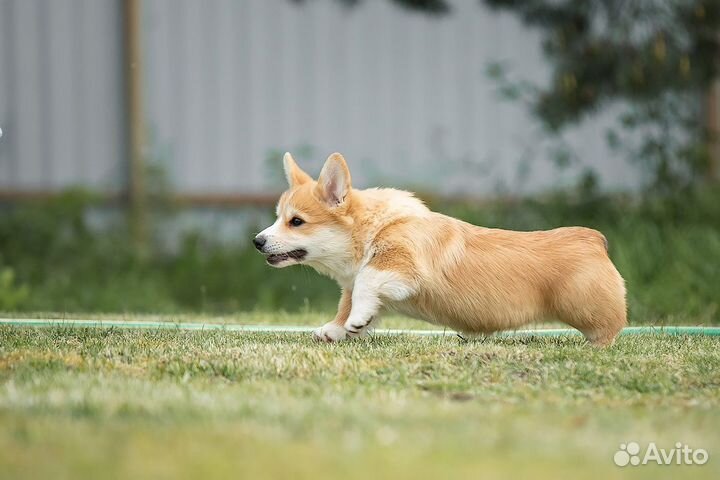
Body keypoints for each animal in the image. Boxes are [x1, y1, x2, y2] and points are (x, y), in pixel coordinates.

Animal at [256, 154, 628, 344]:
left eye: (296, 222)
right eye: (278, 217)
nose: (257, 242)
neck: (375, 226)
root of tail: (594, 240)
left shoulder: (403, 267)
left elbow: (364, 283)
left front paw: (356, 321)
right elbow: (348, 302)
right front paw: (336, 329)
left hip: (586, 308)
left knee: (610, 328)